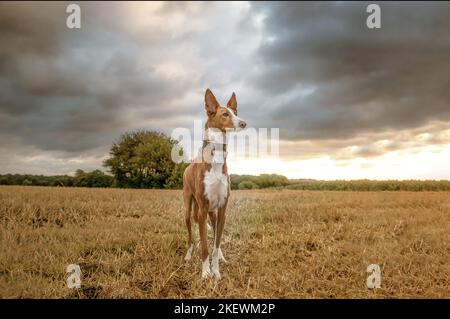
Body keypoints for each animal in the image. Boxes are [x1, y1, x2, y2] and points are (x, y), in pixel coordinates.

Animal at [182, 89, 246, 278]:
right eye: (225, 114)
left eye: (235, 112)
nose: (243, 123)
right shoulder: (202, 210)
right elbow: (204, 246)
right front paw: (205, 273)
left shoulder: (222, 210)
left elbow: (215, 246)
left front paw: (216, 272)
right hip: (189, 209)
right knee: (191, 237)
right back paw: (188, 255)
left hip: (213, 213)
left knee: (215, 237)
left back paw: (222, 257)